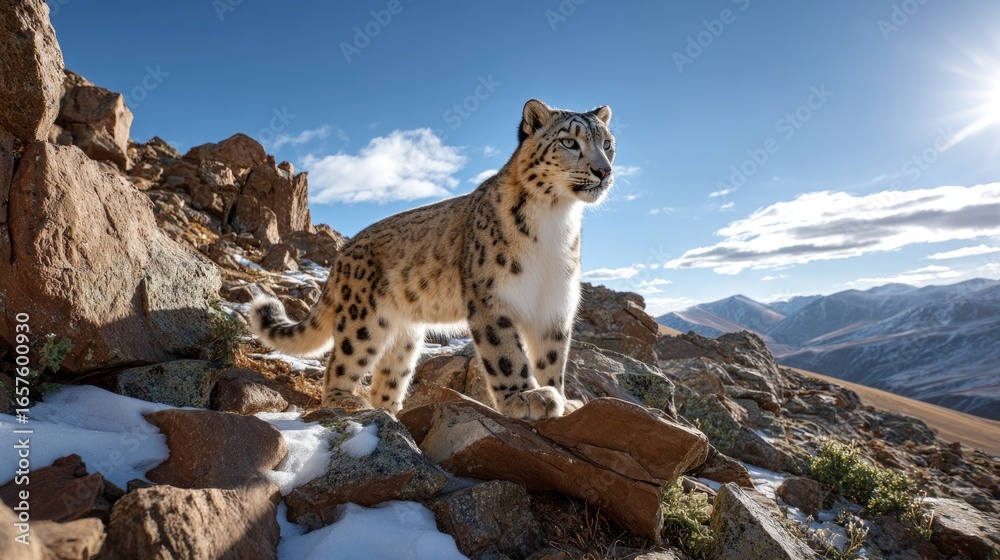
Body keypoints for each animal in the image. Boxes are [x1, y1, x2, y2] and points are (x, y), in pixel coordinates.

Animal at [249, 99, 615, 420]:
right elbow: (506, 353)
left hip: (405, 336)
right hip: (362, 321)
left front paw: (560, 398)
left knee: (387, 378)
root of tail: (341, 254)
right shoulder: (492, 299)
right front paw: (525, 397)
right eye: (568, 142)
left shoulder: (555, 303)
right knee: (341, 363)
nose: (603, 170)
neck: (556, 221)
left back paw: (391, 411)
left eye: (608, 144)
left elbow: (553, 357)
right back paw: (348, 402)